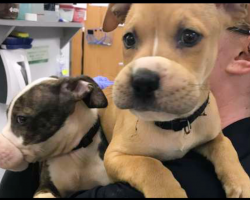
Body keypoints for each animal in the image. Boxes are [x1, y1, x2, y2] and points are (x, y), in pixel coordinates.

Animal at [100, 3, 250, 198]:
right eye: (129, 38)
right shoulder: (114, 155)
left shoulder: (213, 136)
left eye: (189, 36)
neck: (174, 124)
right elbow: (150, 165)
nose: (142, 81)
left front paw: (240, 182)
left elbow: (226, 145)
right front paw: (168, 193)